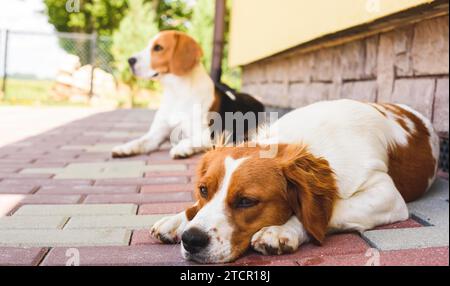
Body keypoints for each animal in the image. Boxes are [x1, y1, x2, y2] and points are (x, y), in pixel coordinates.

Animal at [111, 30, 264, 160]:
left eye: (158, 48)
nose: (130, 60)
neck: (176, 93)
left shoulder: (210, 134)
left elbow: (191, 139)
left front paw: (181, 148)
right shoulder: (156, 135)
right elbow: (140, 141)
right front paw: (124, 148)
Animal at [149, 99, 438, 262]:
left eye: (246, 201)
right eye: (203, 190)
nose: (192, 240)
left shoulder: (386, 194)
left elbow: (330, 211)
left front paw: (282, 230)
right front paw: (177, 219)